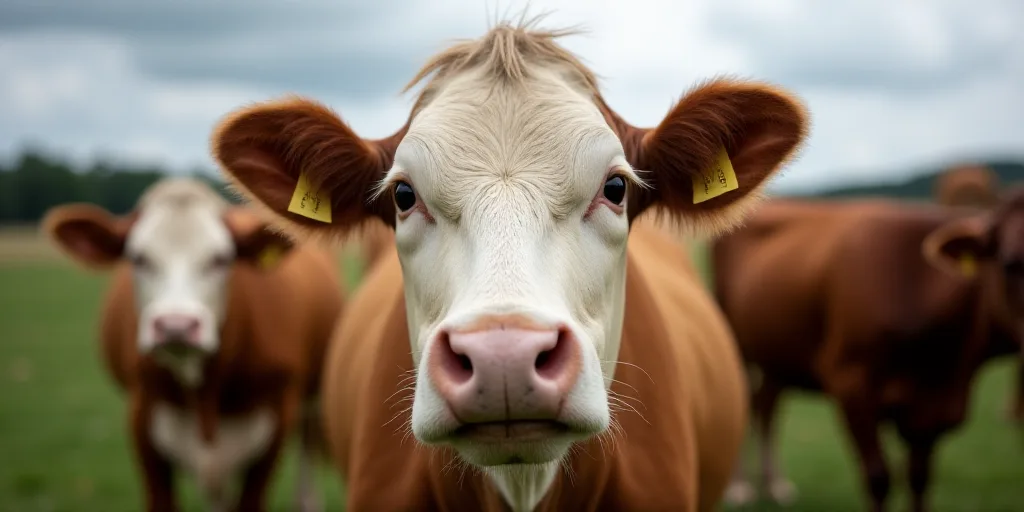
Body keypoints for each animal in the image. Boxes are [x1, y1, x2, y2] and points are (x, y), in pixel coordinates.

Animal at [41, 178, 344, 512]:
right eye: (138, 258)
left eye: (220, 259)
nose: (176, 326)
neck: (204, 389)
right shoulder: (143, 420)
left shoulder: (276, 421)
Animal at [713, 195, 1024, 512]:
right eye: (1010, 264)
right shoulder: (852, 386)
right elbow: (878, 477)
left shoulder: (931, 414)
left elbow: (919, 479)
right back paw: (739, 486)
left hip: (777, 353)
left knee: (766, 406)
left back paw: (775, 484)